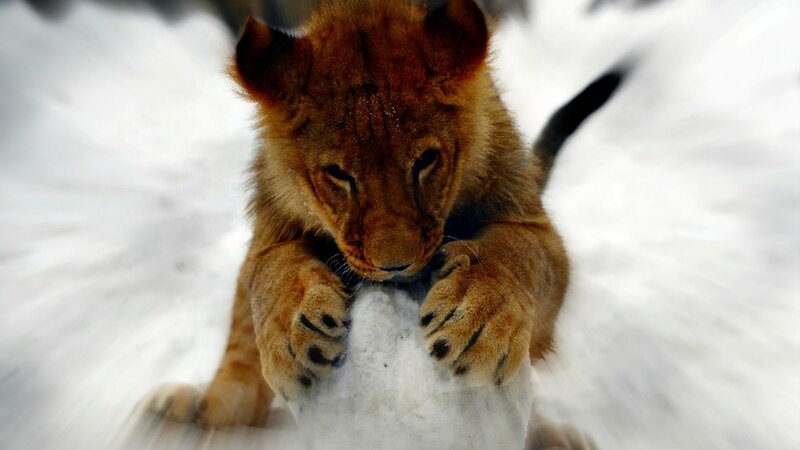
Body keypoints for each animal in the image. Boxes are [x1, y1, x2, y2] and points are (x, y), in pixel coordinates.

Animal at [147, 0, 623, 446]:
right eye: (338, 173)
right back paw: (192, 410)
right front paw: (292, 333)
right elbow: (267, 278)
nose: (394, 265)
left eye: (426, 161)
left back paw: (552, 436)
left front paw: (475, 315)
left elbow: (520, 252)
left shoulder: (531, 222)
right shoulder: (267, 235)